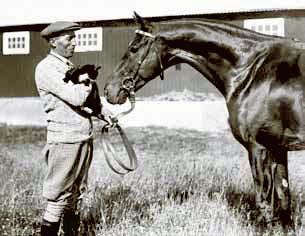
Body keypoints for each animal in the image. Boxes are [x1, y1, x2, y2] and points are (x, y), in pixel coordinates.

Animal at [102, 12, 305, 230]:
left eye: (133, 48)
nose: (109, 90)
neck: (251, 69)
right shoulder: (278, 148)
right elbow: (284, 198)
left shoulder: (259, 147)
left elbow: (264, 202)